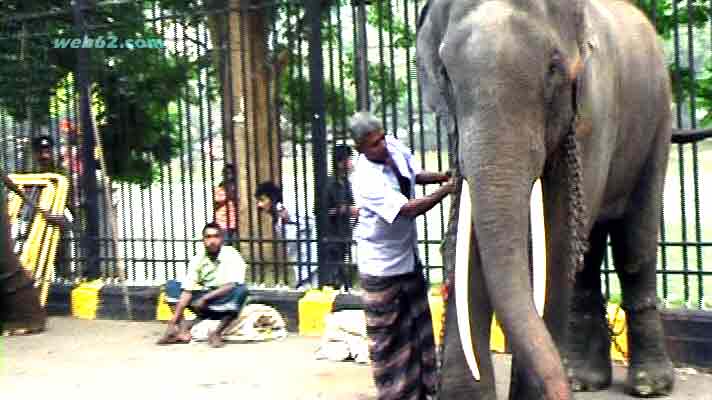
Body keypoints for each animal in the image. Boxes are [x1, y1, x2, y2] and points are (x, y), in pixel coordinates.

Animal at [420, 0, 676, 400]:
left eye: (554, 68)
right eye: (445, 73)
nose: (558, 391)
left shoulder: (594, 112)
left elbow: (556, 236)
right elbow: (469, 238)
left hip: (658, 122)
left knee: (634, 246)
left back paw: (650, 385)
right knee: (587, 254)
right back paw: (583, 379)